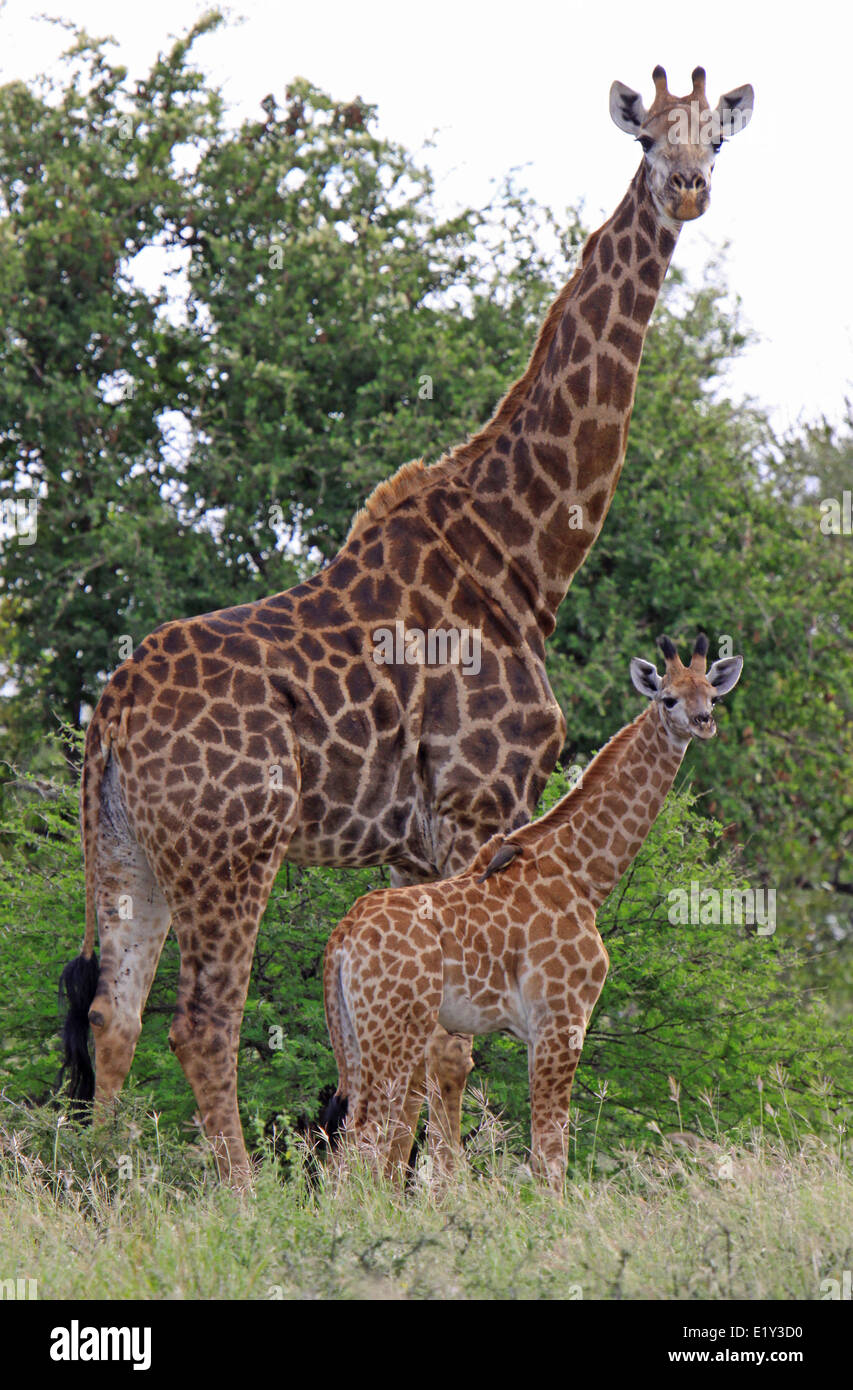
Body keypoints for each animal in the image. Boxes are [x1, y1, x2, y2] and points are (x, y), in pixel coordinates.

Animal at [322, 634, 744, 1190]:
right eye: (668, 698)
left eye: (711, 696)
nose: (703, 722)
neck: (583, 875)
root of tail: (341, 938)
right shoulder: (561, 1019)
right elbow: (550, 1152)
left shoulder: (537, 1029)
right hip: (395, 1031)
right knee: (362, 1141)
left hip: (356, 1036)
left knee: (346, 1147)